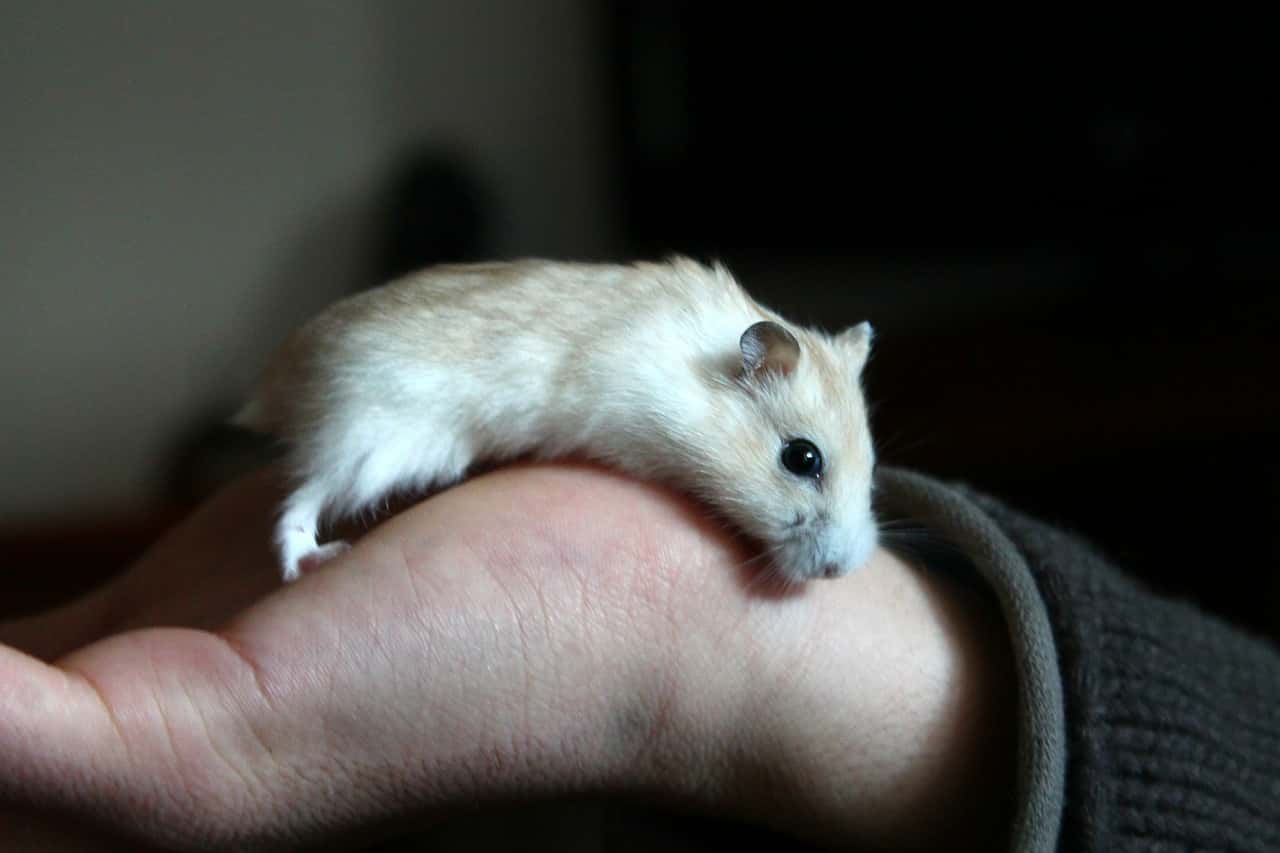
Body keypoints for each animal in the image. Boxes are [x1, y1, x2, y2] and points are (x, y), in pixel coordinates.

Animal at [235, 257, 878, 584]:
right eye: (802, 458)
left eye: (871, 468)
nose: (838, 572)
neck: (693, 372)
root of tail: (277, 381)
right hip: (370, 435)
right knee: (300, 501)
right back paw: (309, 560)